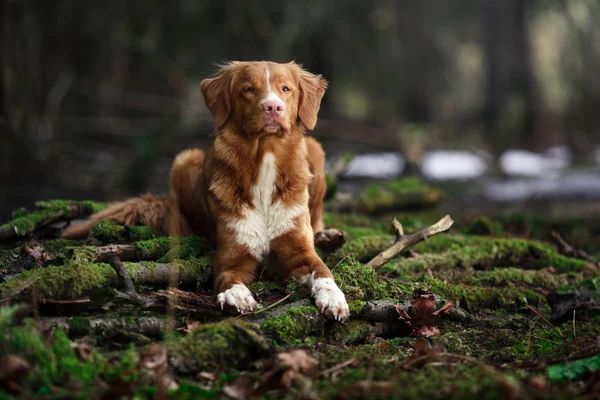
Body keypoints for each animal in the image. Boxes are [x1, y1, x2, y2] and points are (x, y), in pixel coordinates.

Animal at [63, 61, 350, 320]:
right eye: (249, 89)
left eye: (285, 88)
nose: (273, 106)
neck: (264, 158)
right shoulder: (231, 257)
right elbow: (228, 276)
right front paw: (237, 295)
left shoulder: (300, 251)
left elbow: (324, 272)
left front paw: (334, 298)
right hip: (184, 160)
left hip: (315, 150)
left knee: (316, 220)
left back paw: (328, 236)